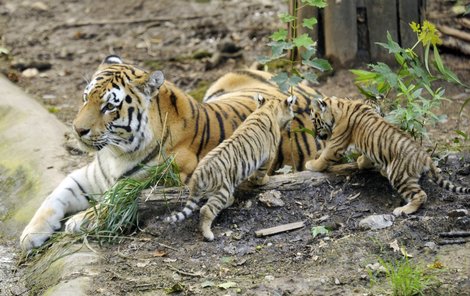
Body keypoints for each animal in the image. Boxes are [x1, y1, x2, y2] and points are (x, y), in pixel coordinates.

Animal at [21, 55, 324, 250]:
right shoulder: (91, 175)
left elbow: (111, 200)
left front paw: (79, 221)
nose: (77, 129)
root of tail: (305, 88)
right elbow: (54, 197)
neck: (116, 153)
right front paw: (30, 234)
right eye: (86, 98)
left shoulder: (152, 181)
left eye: (109, 106)